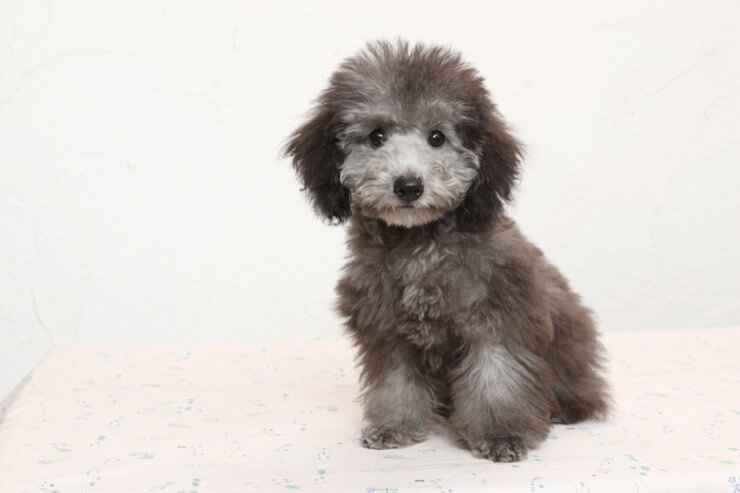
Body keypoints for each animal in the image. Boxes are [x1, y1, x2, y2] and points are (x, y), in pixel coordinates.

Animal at [282, 39, 608, 462]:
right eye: (376, 137)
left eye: (436, 137)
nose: (408, 185)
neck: (420, 245)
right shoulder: (388, 328)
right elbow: (396, 385)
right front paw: (396, 426)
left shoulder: (498, 315)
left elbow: (496, 380)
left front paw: (502, 435)